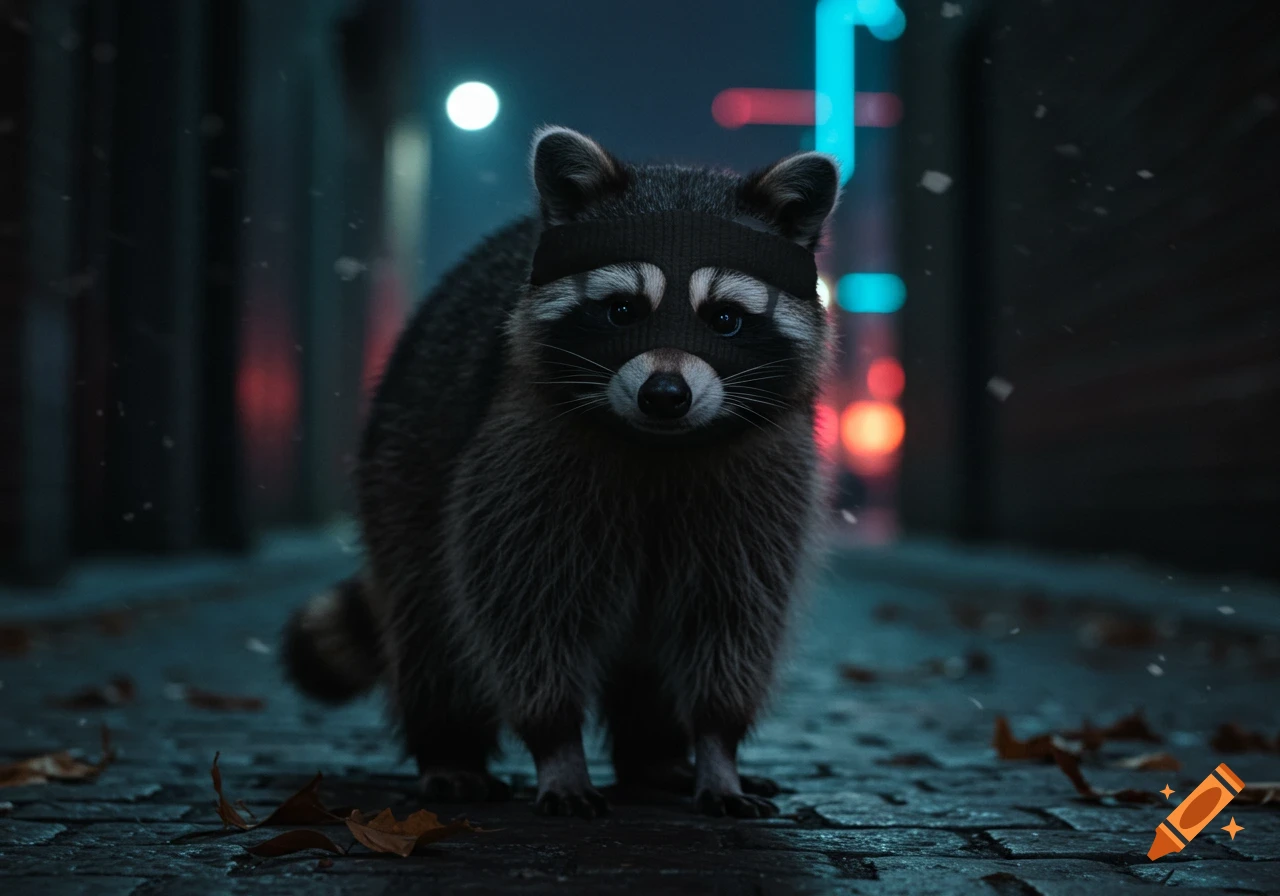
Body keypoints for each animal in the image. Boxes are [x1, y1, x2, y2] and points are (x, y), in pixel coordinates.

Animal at [283, 126, 840, 818]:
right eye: (623, 311)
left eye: (725, 319)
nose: (665, 395)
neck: (657, 445)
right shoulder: (518, 464)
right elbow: (525, 611)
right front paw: (557, 745)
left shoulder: (764, 482)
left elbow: (733, 618)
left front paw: (717, 747)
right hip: (403, 459)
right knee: (433, 620)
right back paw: (448, 745)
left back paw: (656, 754)